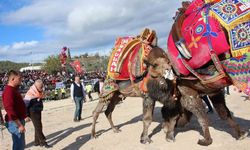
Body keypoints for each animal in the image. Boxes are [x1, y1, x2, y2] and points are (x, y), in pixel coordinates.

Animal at [140, 0, 249, 146]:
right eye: (153, 65)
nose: (146, 87)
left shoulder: (187, 91)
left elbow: (200, 115)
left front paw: (205, 140)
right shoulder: (213, 90)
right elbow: (223, 112)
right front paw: (241, 134)